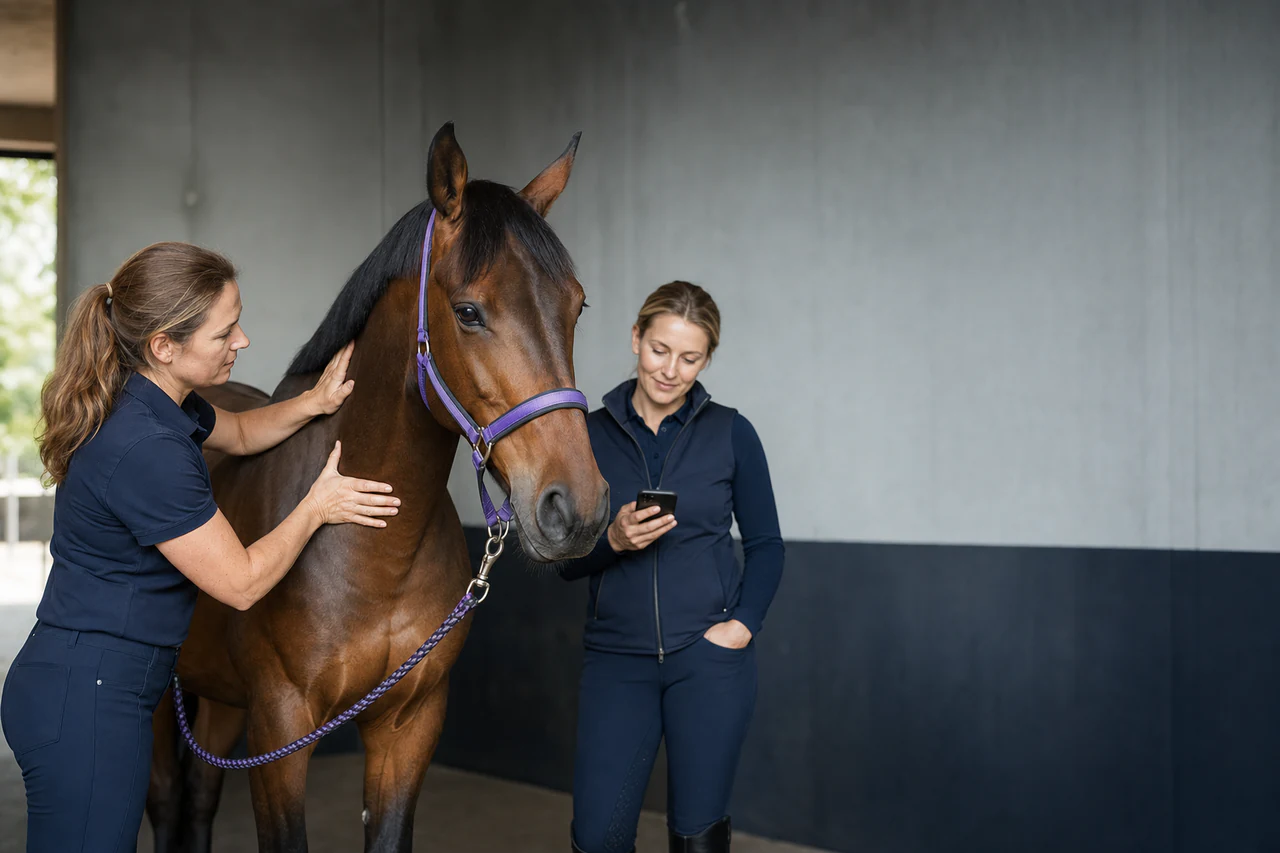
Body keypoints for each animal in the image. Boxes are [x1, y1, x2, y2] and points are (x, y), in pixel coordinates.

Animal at [144, 122, 611, 853]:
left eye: (577, 305)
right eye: (468, 311)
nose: (577, 508)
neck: (372, 553)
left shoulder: (407, 727)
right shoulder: (280, 734)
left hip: (218, 699)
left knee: (198, 801)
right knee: (168, 800)